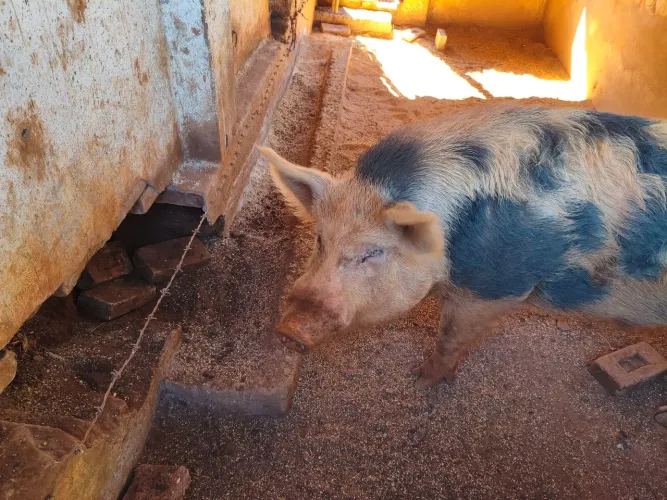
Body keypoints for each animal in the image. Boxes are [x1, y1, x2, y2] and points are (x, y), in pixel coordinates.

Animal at [257, 104, 667, 388]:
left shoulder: (493, 287)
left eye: (372, 252)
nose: (288, 331)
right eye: (320, 240)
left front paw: (420, 379)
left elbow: (450, 337)